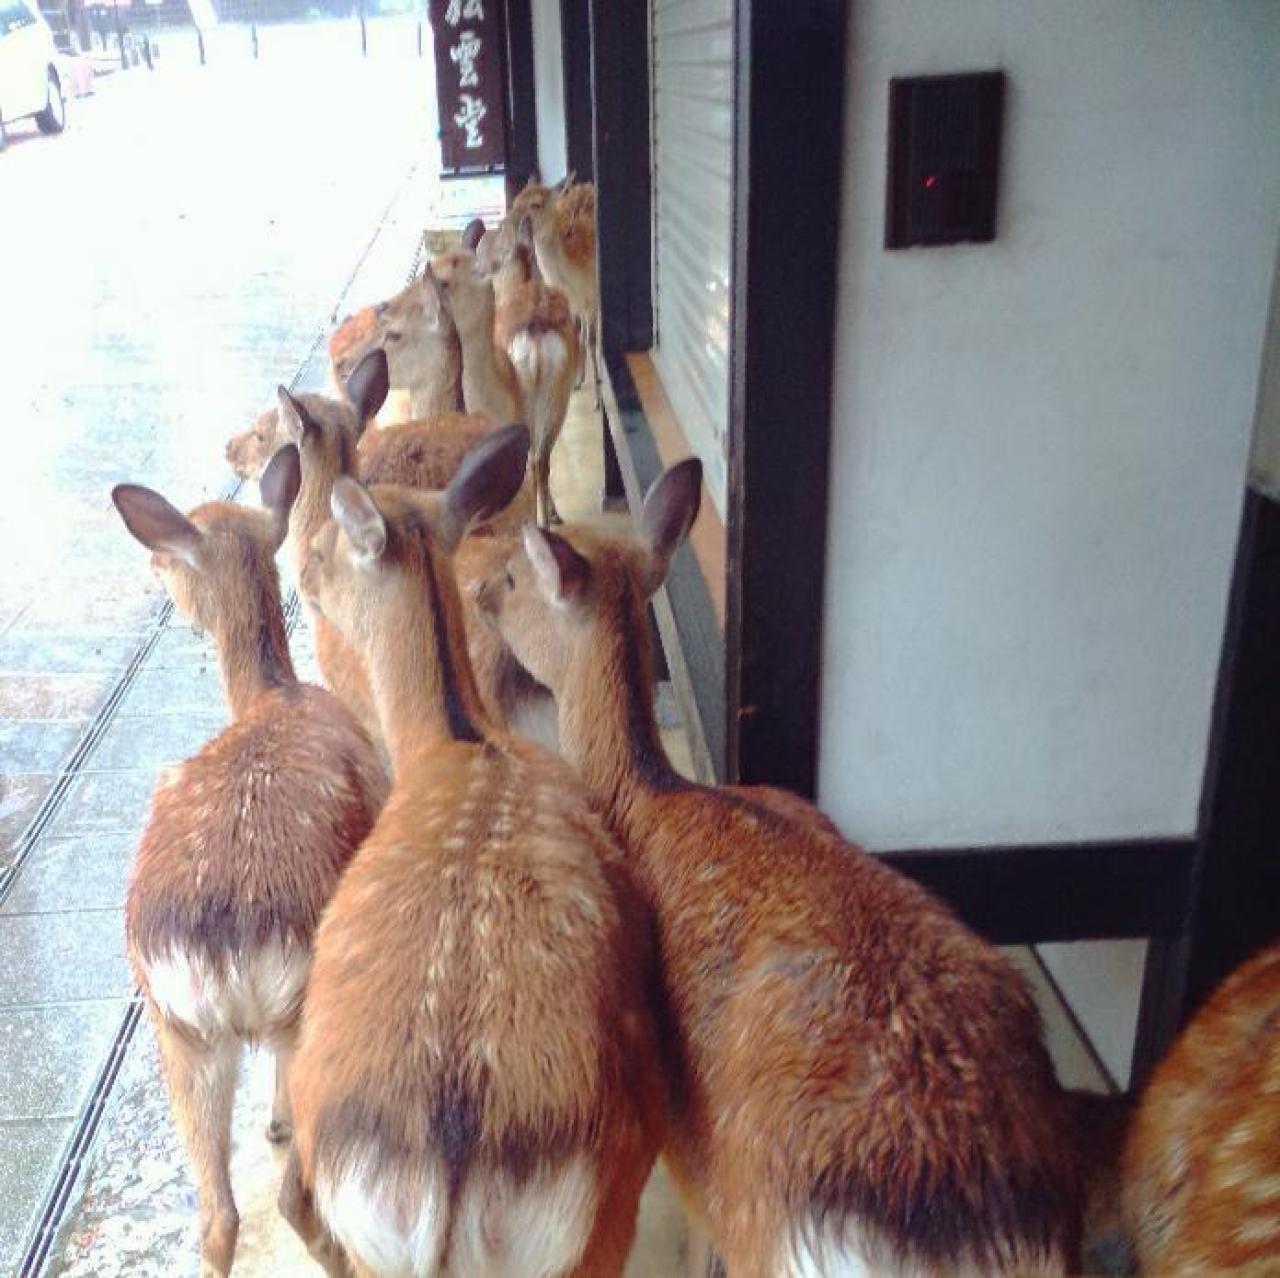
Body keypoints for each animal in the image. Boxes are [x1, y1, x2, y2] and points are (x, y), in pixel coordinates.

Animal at [110, 445, 388, 1277]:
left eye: (173, 555)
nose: (155, 578)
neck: (274, 695)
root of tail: (216, 947)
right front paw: (274, 1122)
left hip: (177, 1026)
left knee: (217, 1213)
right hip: (296, 1005)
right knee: (297, 1193)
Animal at [475, 457, 1086, 1278]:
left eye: (514, 576)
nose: (480, 594)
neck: (650, 800)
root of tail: (970, 1235)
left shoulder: (691, 1158)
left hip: (759, 1220)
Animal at [506, 176, 600, 408]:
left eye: (536, 204)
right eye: (516, 199)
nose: (510, 222)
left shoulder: (592, 298)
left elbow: (591, 341)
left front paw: (598, 400)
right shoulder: (573, 304)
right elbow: (577, 337)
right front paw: (576, 382)